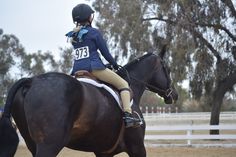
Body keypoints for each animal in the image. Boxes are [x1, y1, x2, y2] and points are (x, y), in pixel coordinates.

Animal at [0, 48, 177, 156]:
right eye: (167, 69)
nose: (174, 94)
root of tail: (31, 81)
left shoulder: (103, 152)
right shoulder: (137, 148)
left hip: (33, 144)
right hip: (49, 146)